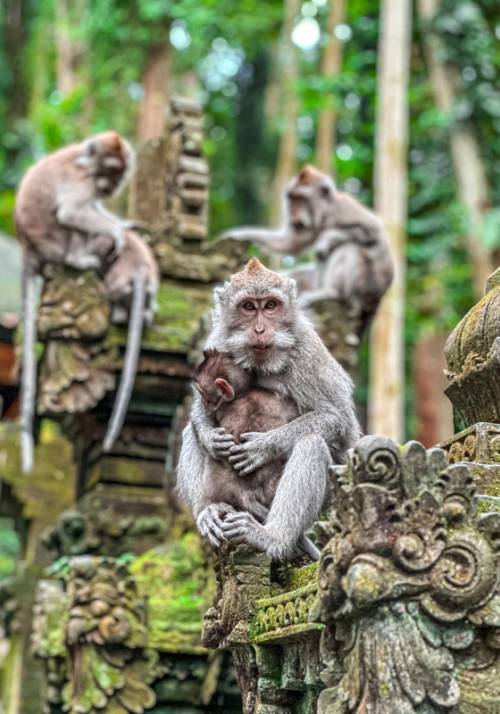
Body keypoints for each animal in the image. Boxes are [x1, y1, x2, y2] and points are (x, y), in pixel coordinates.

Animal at [14, 131, 136, 471]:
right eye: (109, 170)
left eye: (119, 173)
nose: (110, 188)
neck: (86, 163)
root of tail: (28, 250)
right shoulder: (81, 181)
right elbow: (71, 211)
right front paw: (118, 232)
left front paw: (125, 224)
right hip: (57, 246)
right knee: (68, 224)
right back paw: (81, 259)